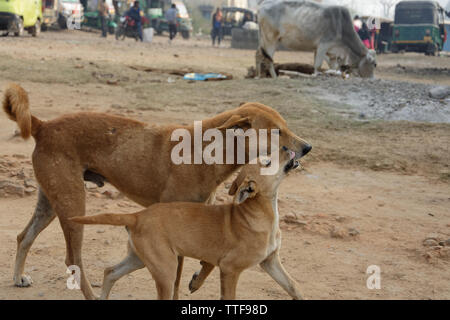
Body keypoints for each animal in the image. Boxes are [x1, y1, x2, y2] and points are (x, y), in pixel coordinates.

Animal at [72, 150, 304, 300]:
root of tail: (137, 215)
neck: (259, 212)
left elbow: (294, 287)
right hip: (166, 269)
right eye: (267, 162)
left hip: (139, 258)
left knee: (110, 272)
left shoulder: (270, 261)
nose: (288, 149)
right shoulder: (230, 269)